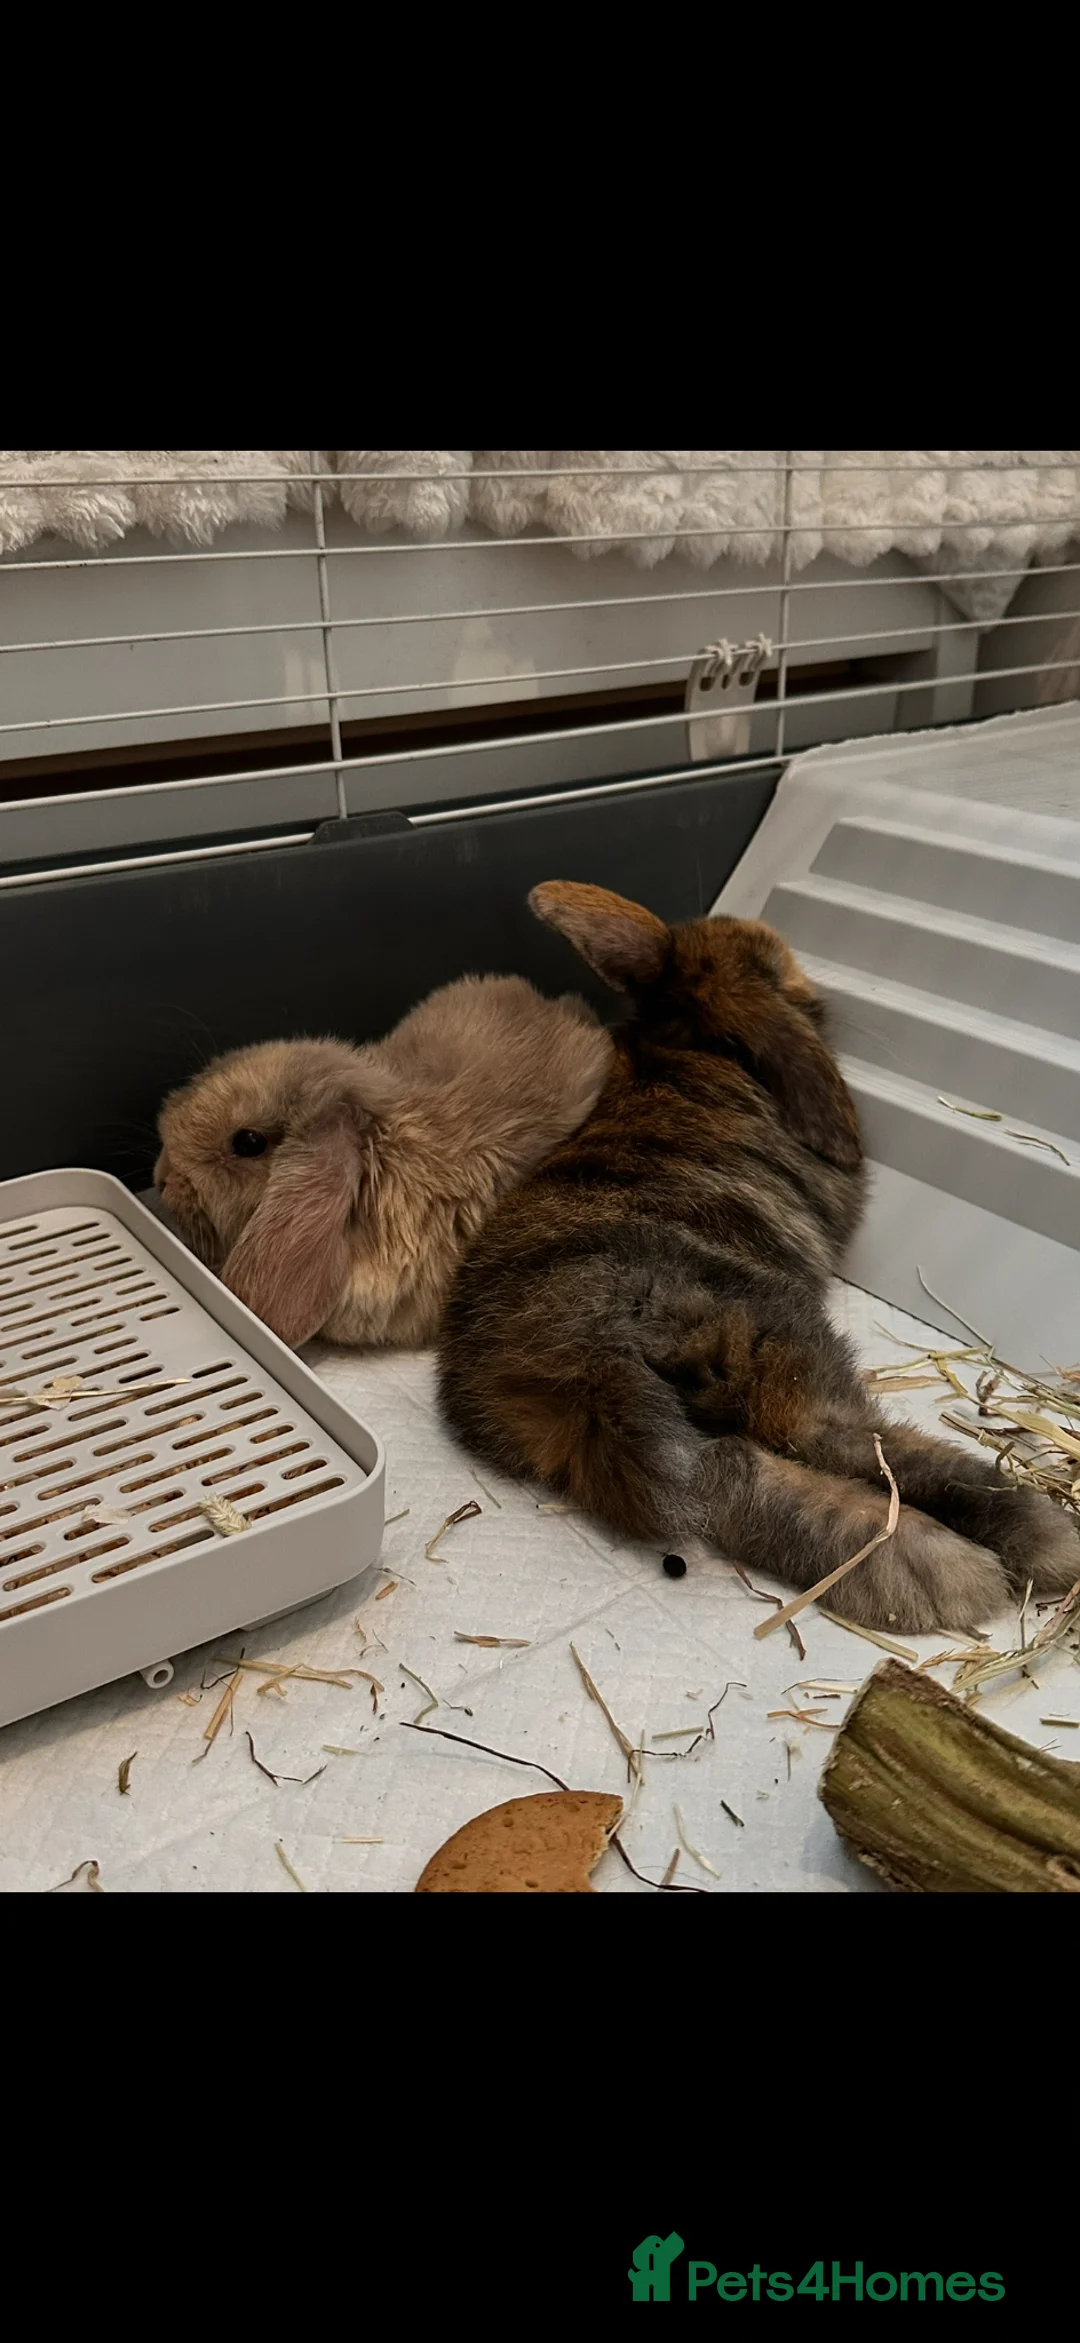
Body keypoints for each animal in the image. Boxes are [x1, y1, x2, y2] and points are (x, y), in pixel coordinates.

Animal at [437, 884, 1079, 1634]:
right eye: (770, 962)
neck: (689, 1038)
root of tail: (588, 1361)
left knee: (737, 1477)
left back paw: (929, 1564)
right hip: (788, 1360)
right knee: (854, 1445)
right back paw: (1001, 1547)